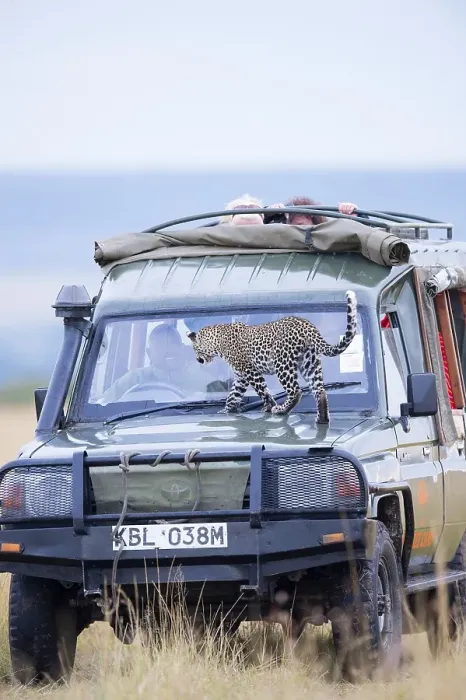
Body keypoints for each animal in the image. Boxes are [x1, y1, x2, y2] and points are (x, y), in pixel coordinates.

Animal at [187, 290, 357, 423]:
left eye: (195, 349)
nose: (197, 359)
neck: (216, 341)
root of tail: (307, 325)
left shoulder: (249, 370)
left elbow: (262, 390)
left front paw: (269, 406)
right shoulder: (241, 376)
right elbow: (233, 395)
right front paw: (226, 411)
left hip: (282, 363)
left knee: (296, 391)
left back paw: (281, 409)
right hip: (309, 361)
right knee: (320, 390)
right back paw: (321, 418)